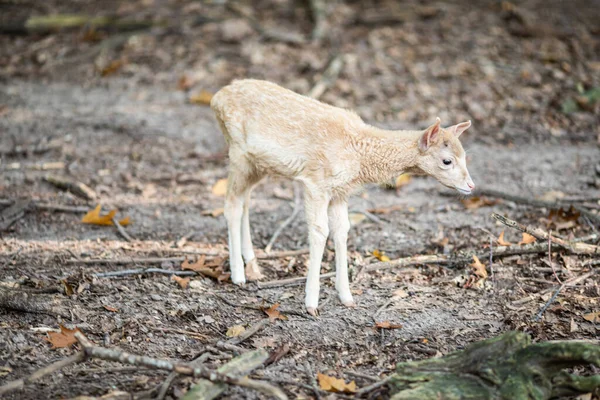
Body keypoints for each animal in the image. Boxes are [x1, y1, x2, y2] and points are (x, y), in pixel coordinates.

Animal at [210, 79, 474, 316]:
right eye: (447, 161)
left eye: (465, 156)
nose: (471, 185)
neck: (359, 157)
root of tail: (216, 98)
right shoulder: (316, 183)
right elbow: (320, 231)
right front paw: (311, 303)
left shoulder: (340, 192)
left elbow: (342, 231)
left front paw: (346, 297)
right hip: (238, 153)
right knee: (231, 204)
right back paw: (238, 275)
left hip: (258, 165)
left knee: (245, 199)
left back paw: (251, 261)